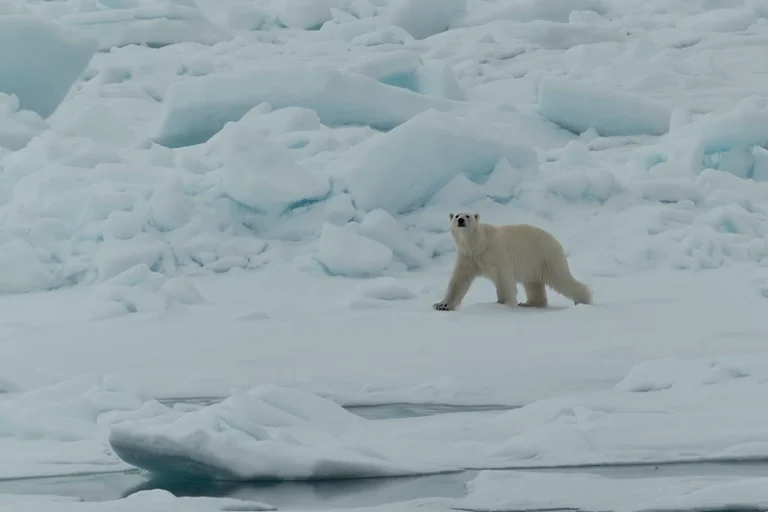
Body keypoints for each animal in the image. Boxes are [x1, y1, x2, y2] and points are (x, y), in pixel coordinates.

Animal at [433, 213, 592, 311]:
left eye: (468, 215)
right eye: (456, 215)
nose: (461, 220)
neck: (478, 244)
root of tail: (555, 240)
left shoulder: (495, 252)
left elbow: (503, 277)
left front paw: (502, 303)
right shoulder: (468, 256)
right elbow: (459, 280)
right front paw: (441, 305)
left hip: (545, 257)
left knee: (561, 279)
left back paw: (583, 299)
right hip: (533, 264)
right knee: (533, 284)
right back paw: (528, 303)